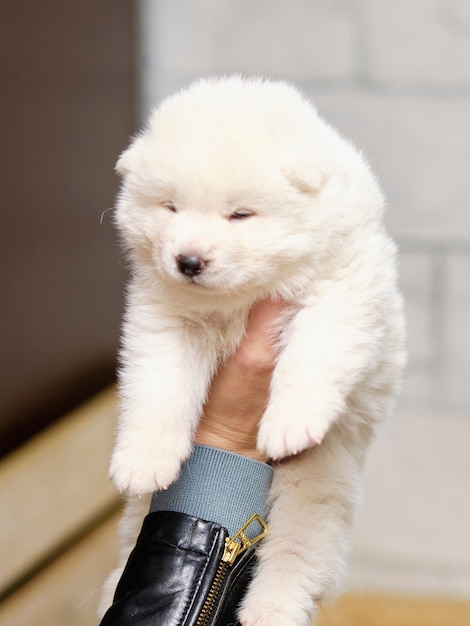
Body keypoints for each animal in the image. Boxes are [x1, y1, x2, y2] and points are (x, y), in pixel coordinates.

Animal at [102, 77, 404, 624]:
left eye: (240, 214)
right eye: (170, 207)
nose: (189, 261)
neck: (238, 300)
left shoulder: (341, 288)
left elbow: (313, 352)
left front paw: (290, 421)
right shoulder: (164, 318)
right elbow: (159, 387)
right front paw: (142, 459)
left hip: (317, 486)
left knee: (294, 556)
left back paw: (270, 608)